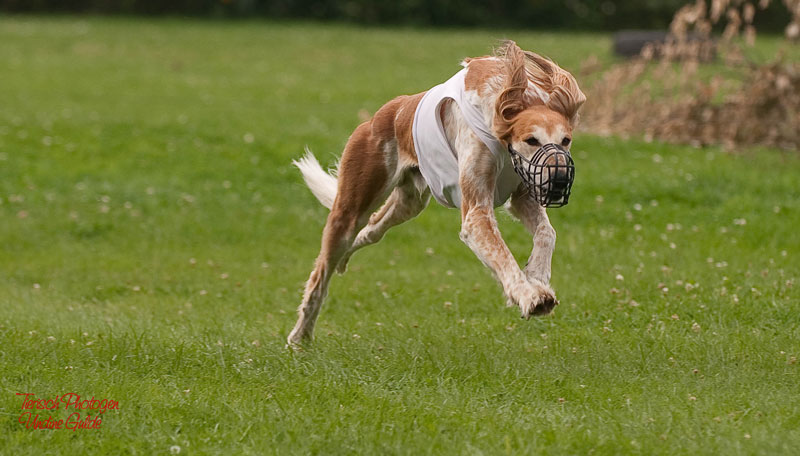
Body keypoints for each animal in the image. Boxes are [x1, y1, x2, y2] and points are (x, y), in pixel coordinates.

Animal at [286, 40, 580, 346]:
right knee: (321, 272)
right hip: (350, 206)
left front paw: (537, 276)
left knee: (371, 230)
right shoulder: (476, 212)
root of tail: (381, 115)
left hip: (408, 203)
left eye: (566, 140)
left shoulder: (523, 194)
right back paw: (300, 336)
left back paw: (344, 262)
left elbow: (547, 232)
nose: (560, 181)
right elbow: (501, 254)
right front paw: (529, 295)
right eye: (531, 140)